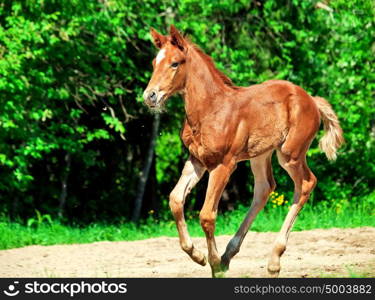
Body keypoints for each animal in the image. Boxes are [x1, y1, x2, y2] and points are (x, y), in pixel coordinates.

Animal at [143, 24, 344, 278]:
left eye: (175, 63)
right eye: (154, 63)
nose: (150, 96)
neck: (209, 109)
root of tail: (312, 99)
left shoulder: (223, 165)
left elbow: (207, 215)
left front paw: (214, 265)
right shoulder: (197, 160)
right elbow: (175, 199)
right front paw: (197, 255)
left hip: (290, 154)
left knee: (306, 183)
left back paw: (273, 260)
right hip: (260, 154)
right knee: (264, 188)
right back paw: (230, 253)